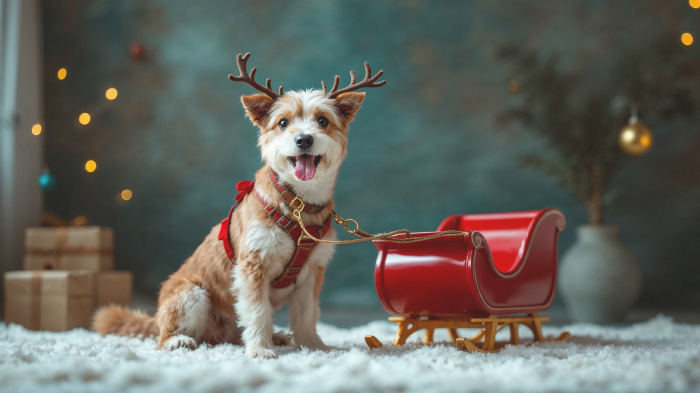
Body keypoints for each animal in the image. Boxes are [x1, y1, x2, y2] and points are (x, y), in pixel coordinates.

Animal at [93, 53, 386, 356]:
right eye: (283, 123)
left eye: (322, 120)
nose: (304, 139)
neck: (298, 204)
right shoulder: (253, 265)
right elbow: (257, 311)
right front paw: (259, 350)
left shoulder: (312, 271)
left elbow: (307, 313)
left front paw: (313, 346)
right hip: (191, 295)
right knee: (164, 337)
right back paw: (179, 340)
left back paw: (278, 336)